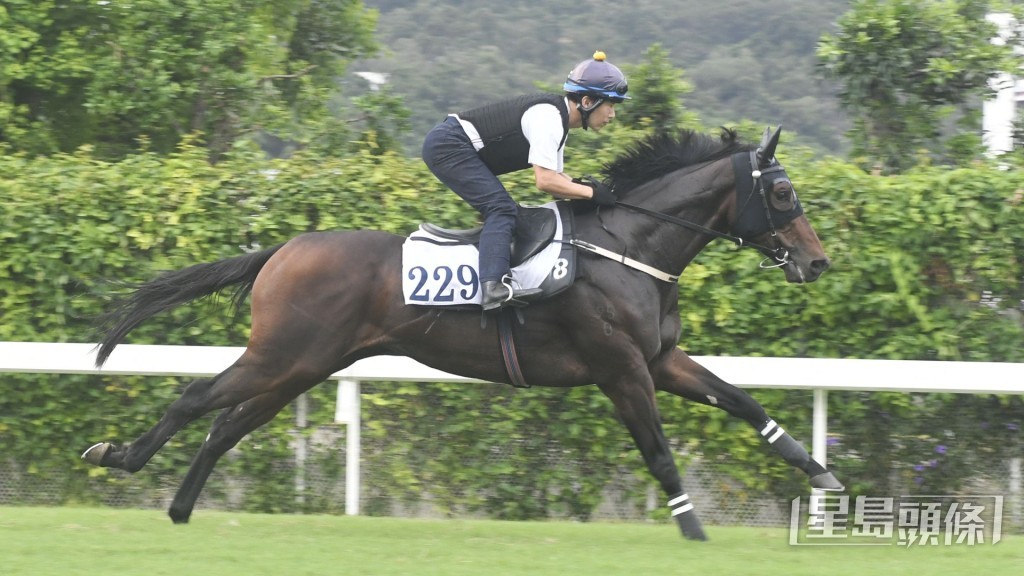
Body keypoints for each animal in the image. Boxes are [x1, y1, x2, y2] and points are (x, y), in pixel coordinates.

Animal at [82, 126, 842, 542]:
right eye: (782, 193)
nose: (817, 262)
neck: (628, 247)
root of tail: (282, 249)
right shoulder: (620, 368)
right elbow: (658, 452)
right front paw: (693, 527)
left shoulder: (659, 359)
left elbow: (744, 402)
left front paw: (823, 474)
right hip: (281, 354)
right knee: (195, 399)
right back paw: (117, 456)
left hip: (302, 366)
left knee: (226, 425)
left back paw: (180, 508)